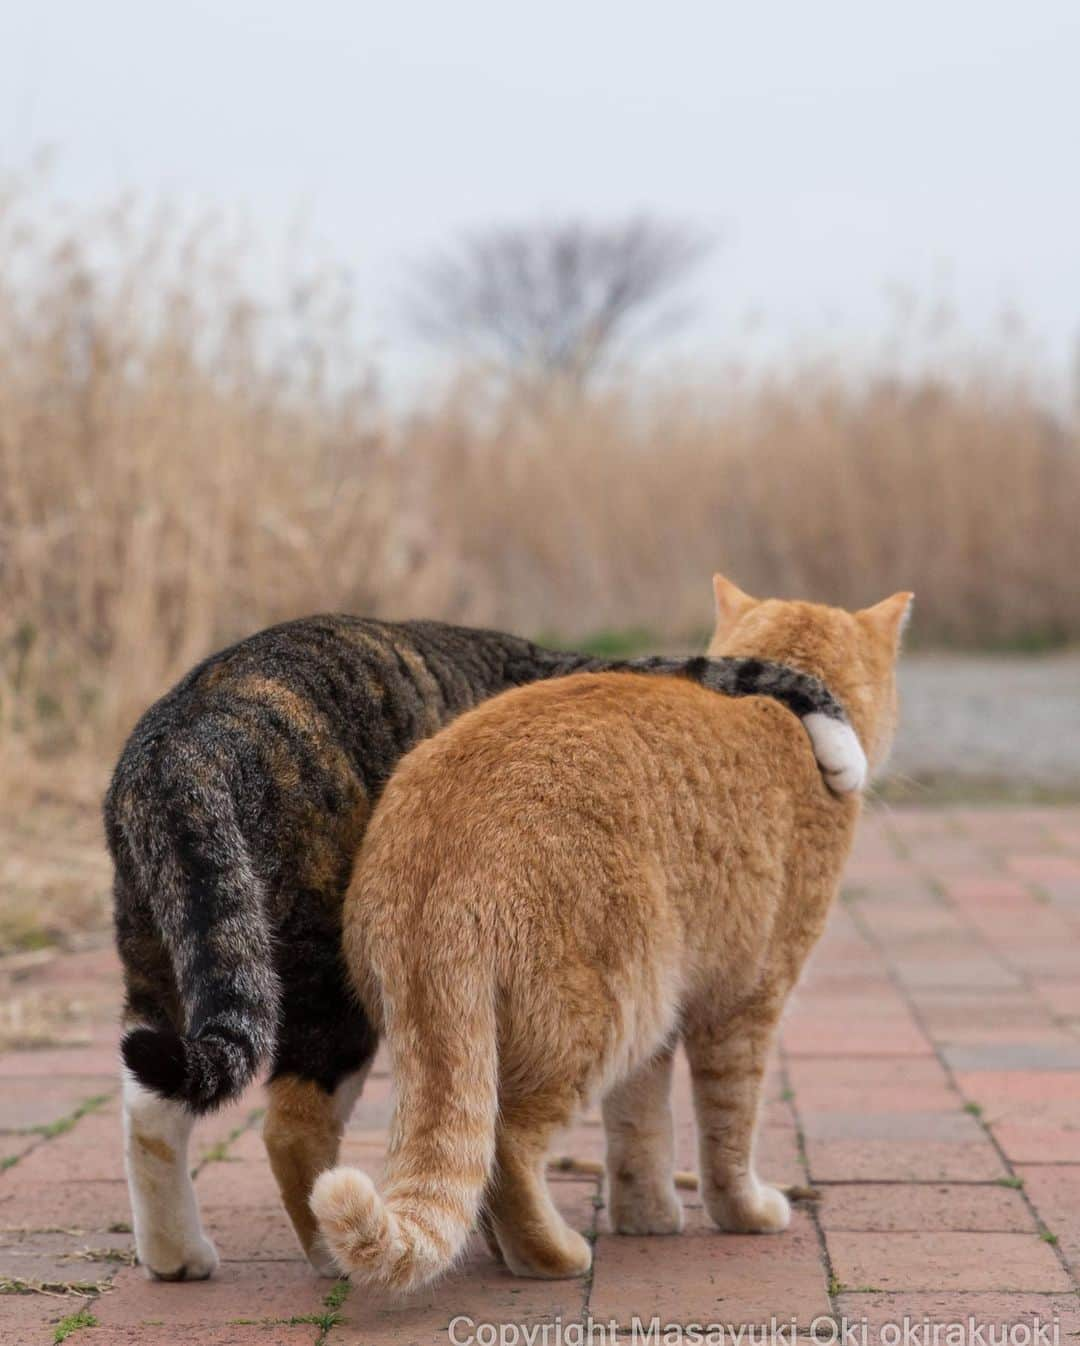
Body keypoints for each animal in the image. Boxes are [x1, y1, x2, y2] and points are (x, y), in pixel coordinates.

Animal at [100, 616, 856, 1276]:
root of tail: (183, 742)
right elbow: (753, 672)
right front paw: (842, 751)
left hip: (171, 951)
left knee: (150, 1105)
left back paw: (177, 1256)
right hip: (324, 983)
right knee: (295, 1127)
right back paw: (335, 1257)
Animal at [309, 573, 910, 1286]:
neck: (782, 711)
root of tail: (440, 849)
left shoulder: (661, 1035)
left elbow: (639, 1129)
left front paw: (646, 1218)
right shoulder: (743, 1005)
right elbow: (730, 1129)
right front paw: (745, 1212)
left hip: (572, 1019)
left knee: (473, 1155)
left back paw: (505, 1249)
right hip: (605, 1014)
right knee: (505, 1147)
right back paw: (550, 1255)